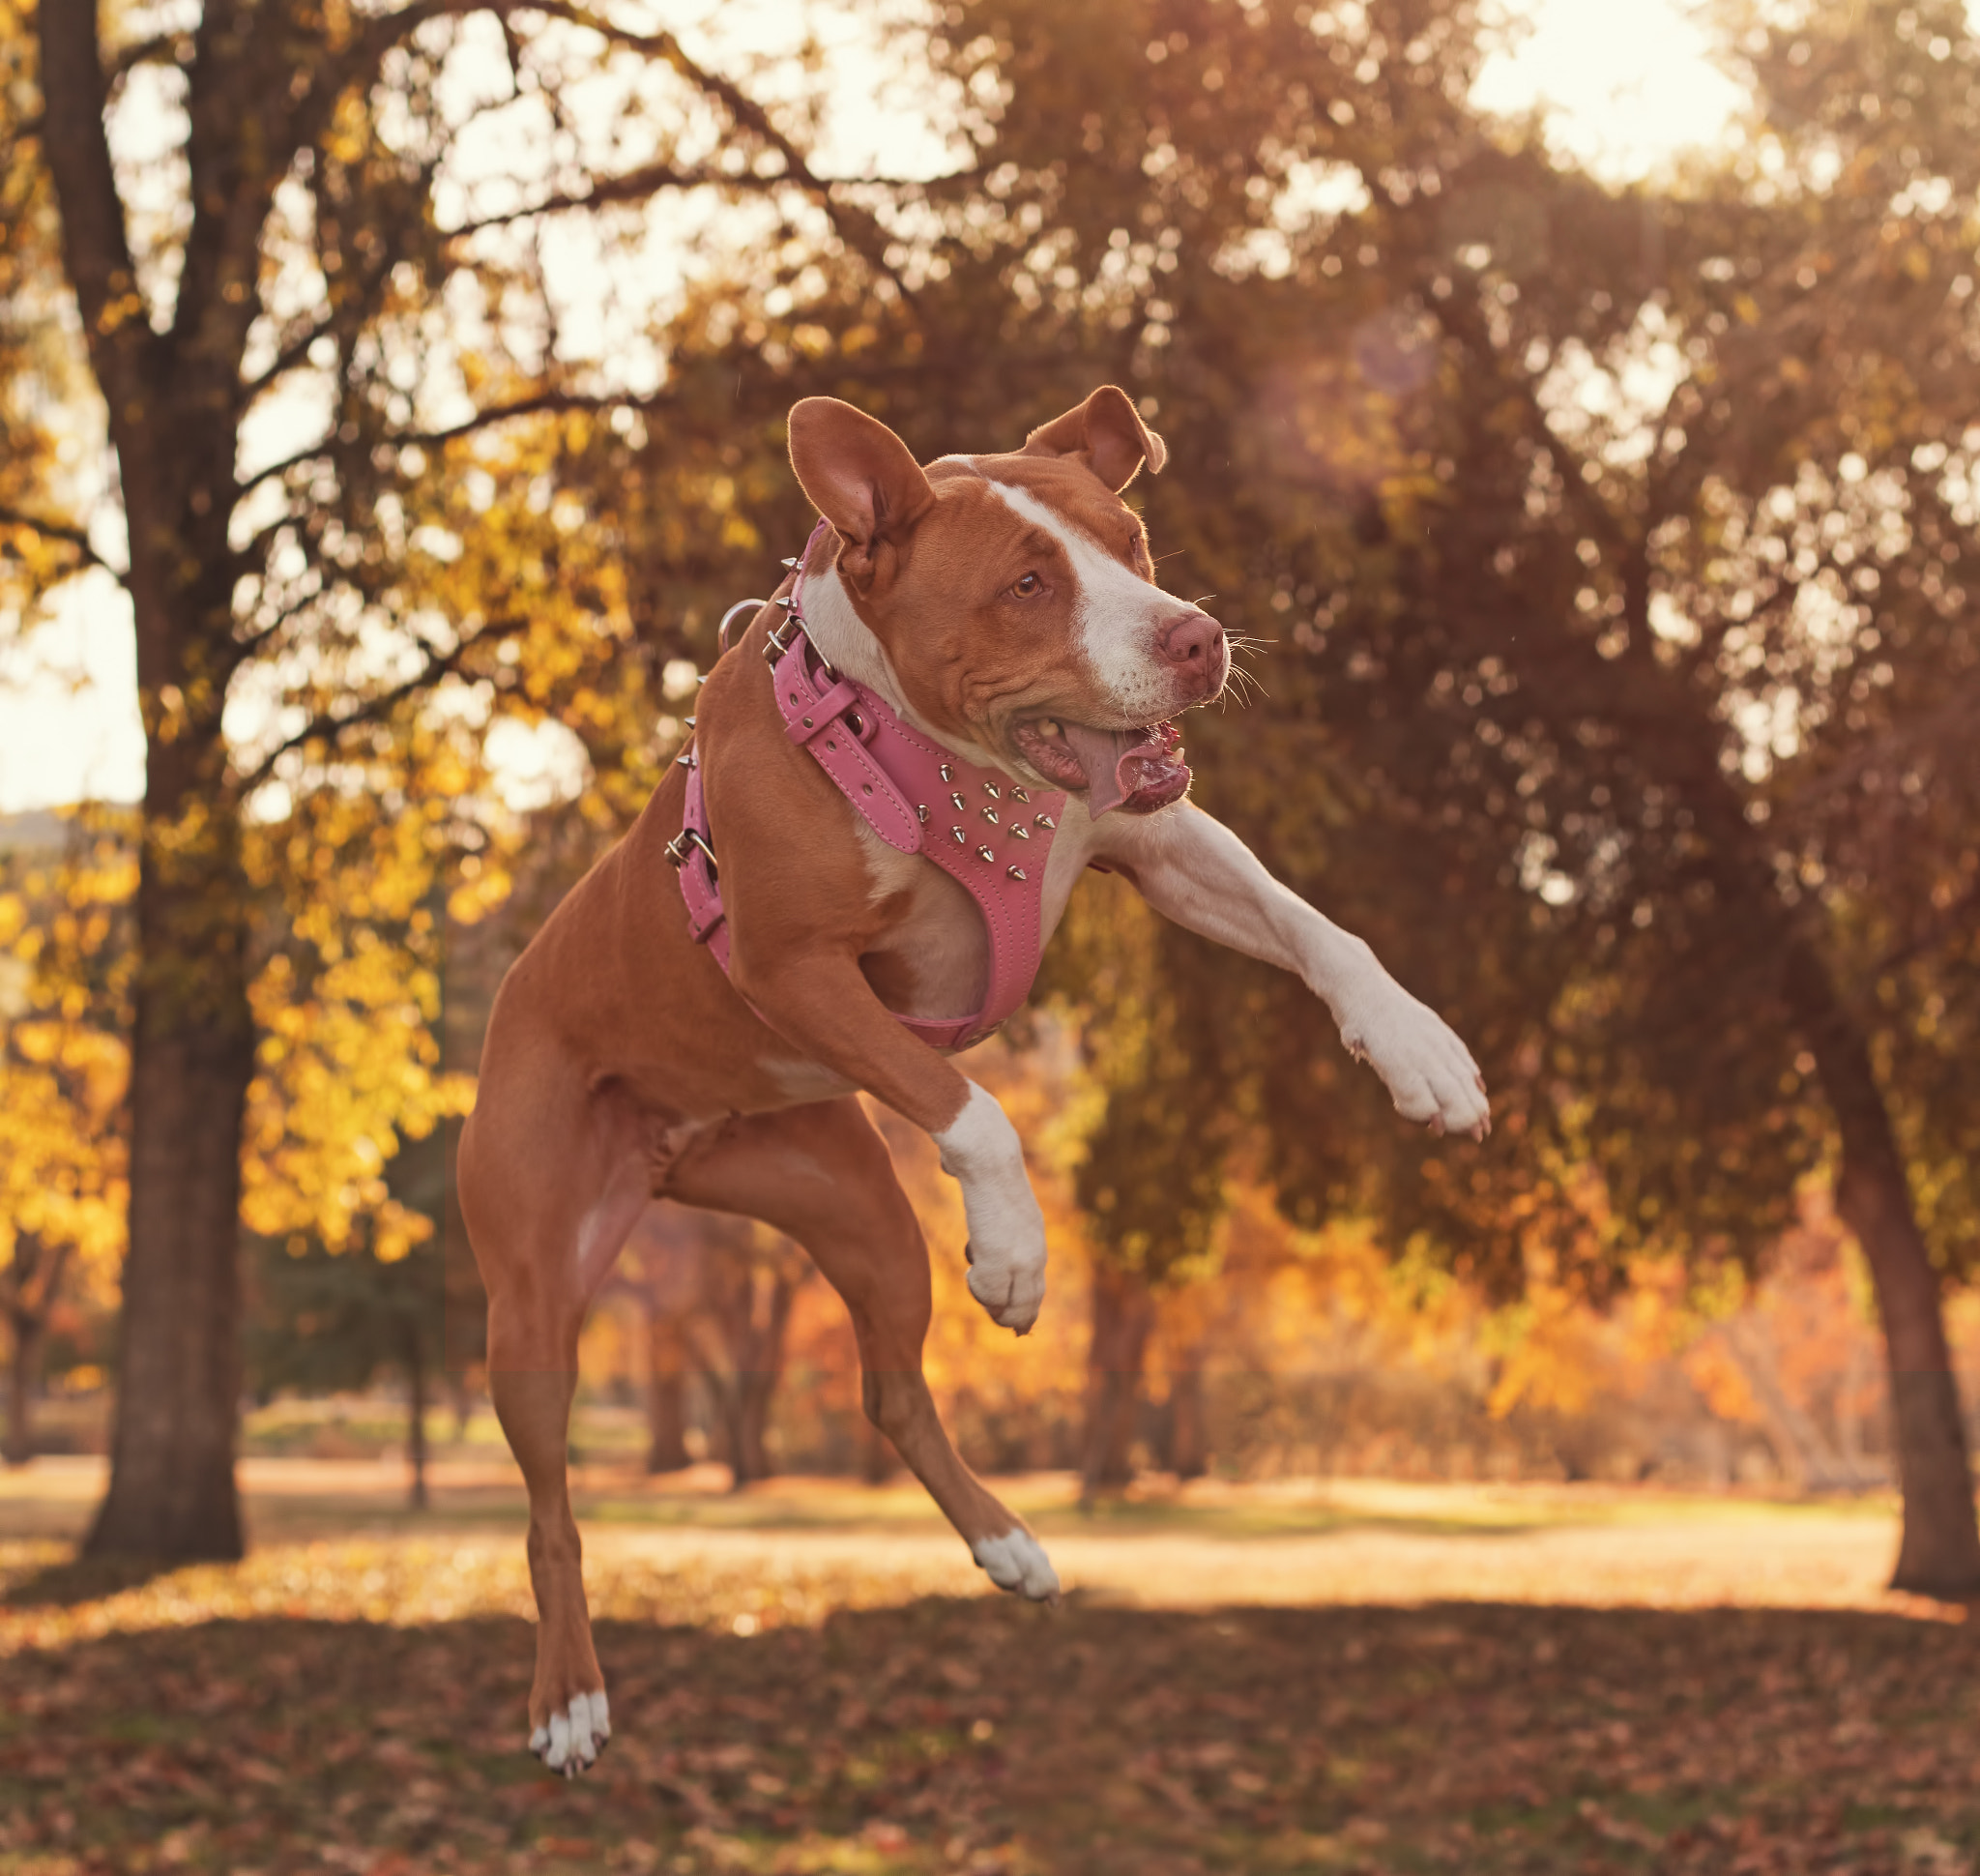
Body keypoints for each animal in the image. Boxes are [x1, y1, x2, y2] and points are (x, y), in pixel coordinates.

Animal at [459, 384, 1489, 1774]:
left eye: (1131, 539)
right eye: (1025, 583)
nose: (1196, 636)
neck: (939, 750)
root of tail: (664, 1151)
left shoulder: (1157, 840)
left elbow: (1316, 924)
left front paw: (1417, 1046)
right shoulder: (792, 969)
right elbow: (976, 1110)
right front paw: (1013, 1250)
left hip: (856, 1207)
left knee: (892, 1390)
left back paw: (1007, 1544)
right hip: (530, 1298)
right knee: (551, 1505)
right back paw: (568, 1697)